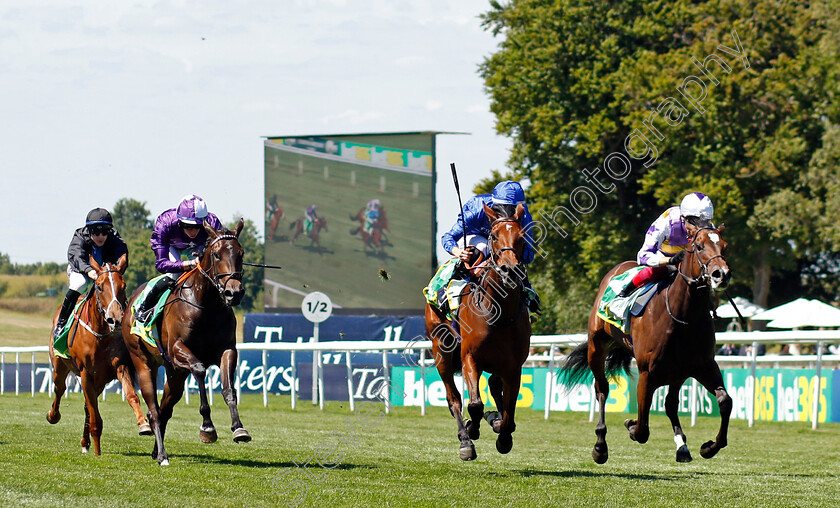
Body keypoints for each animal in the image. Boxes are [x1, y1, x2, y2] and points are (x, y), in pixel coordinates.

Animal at [46, 256, 151, 454]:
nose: (115, 319)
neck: (100, 335)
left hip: (100, 380)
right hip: (59, 365)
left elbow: (131, 395)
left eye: (123, 286)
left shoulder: (120, 366)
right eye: (100, 286)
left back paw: (85, 442)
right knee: (60, 388)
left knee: (87, 405)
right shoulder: (86, 372)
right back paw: (53, 416)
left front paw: (144, 424)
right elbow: (94, 413)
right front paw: (97, 452)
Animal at [120, 220, 249, 466]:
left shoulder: (227, 350)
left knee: (164, 410)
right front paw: (207, 428)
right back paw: (162, 455)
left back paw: (156, 451)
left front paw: (239, 428)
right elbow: (199, 369)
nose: (234, 293)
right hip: (143, 363)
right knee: (153, 410)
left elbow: (229, 388)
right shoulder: (178, 350)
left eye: (241, 253)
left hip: (175, 374)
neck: (207, 305)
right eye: (216, 254)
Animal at [426, 202, 532, 460]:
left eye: (522, 237)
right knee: (453, 399)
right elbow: (474, 405)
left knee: (494, 386)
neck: (499, 313)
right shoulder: (469, 357)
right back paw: (465, 437)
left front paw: (503, 436)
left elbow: (510, 408)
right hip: (441, 351)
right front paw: (471, 433)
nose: (509, 270)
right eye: (494, 236)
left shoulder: (514, 365)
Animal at [564, 224, 736, 462]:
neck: (683, 317)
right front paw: (630, 424)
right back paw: (600, 445)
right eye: (699, 246)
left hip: (677, 373)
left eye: (725, 246)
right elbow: (642, 429)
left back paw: (682, 446)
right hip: (596, 347)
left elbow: (725, 401)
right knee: (602, 389)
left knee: (671, 404)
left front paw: (709, 447)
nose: (722, 274)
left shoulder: (703, 366)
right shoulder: (647, 374)